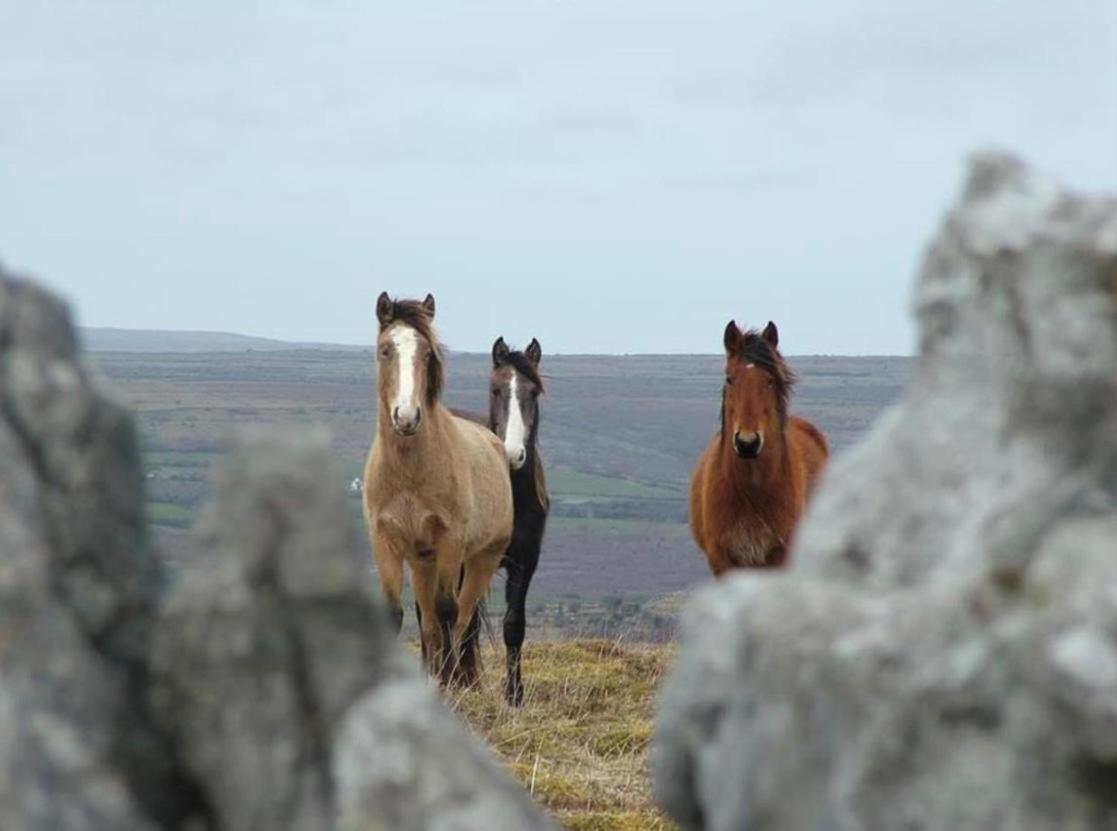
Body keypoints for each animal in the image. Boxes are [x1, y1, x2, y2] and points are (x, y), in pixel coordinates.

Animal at [359, 294, 511, 683]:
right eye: (385, 350)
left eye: (427, 353)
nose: (406, 417)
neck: (409, 474)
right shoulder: (385, 541)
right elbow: (397, 614)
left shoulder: (450, 540)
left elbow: (447, 611)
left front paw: (450, 679)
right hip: (421, 560)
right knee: (428, 623)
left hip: (481, 559)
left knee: (461, 619)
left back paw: (454, 674)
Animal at [688, 321, 831, 576]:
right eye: (730, 378)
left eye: (770, 380)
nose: (747, 443)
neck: (750, 492)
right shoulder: (722, 560)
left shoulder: (781, 557)